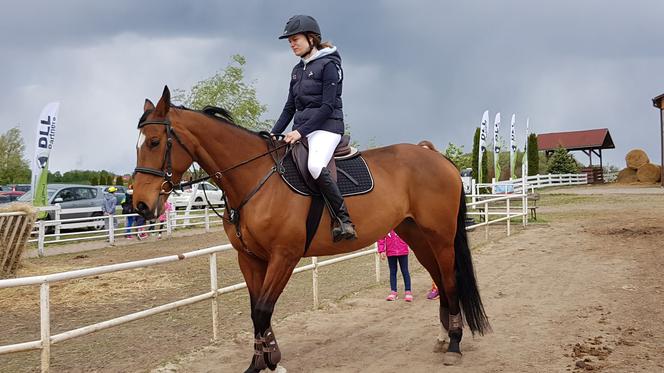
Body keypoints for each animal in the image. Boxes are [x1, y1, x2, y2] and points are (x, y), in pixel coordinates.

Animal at [132, 86, 490, 370]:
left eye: (154, 142)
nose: (141, 205)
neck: (255, 179)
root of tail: (436, 156)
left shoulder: (284, 256)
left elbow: (263, 310)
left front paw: (271, 362)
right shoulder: (250, 258)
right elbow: (255, 312)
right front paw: (261, 362)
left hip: (440, 237)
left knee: (450, 280)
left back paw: (454, 344)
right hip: (416, 235)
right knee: (440, 279)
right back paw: (444, 338)